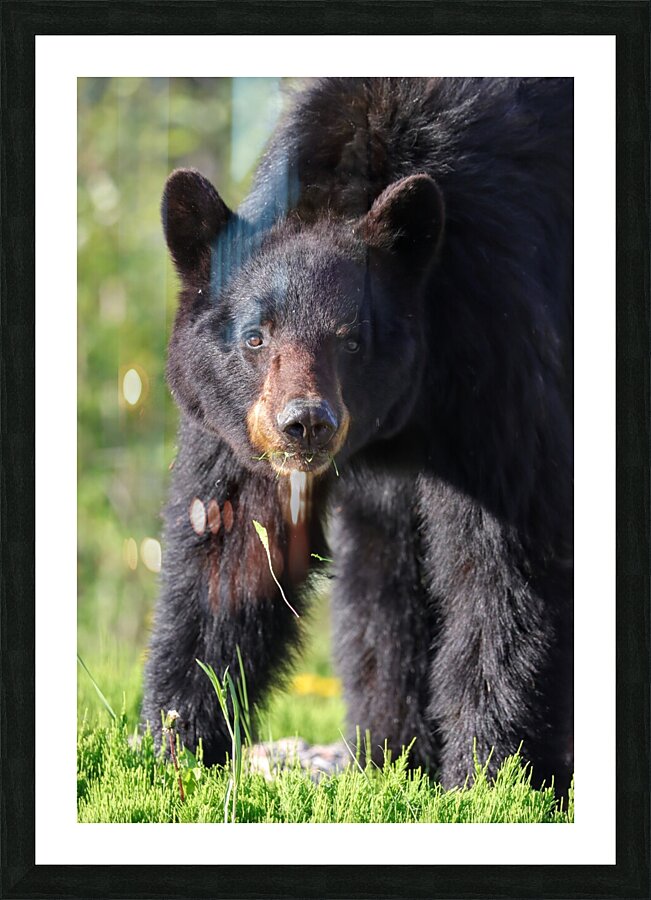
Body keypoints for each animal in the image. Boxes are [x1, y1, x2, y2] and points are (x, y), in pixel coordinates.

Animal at [142, 77, 574, 793]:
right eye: (256, 338)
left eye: (350, 340)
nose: (305, 422)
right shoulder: (238, 427)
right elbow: (232, 550)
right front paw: (178, 748)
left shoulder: (494, 352)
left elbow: (502, 565)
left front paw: (490, 773)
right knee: (381, 582)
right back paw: (389, 755)